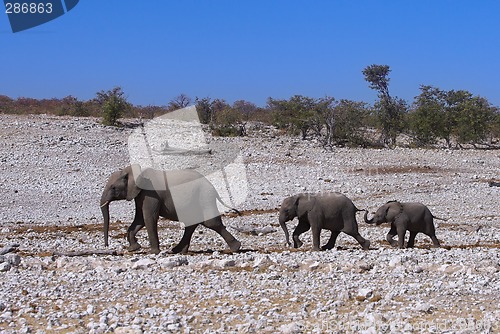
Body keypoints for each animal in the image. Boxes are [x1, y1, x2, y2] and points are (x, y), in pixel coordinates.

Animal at [100, 166, 242, 254]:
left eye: (113, 188)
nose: (106, 246)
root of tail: (212, 186)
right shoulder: (140, 195)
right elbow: (139, 219)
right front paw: (134, 248)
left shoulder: (150, 194)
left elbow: (149, 218)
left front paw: (154, 252)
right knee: (192, 223)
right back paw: (178, 251)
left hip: (204, 196)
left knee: (210, 222)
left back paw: (236, 248)